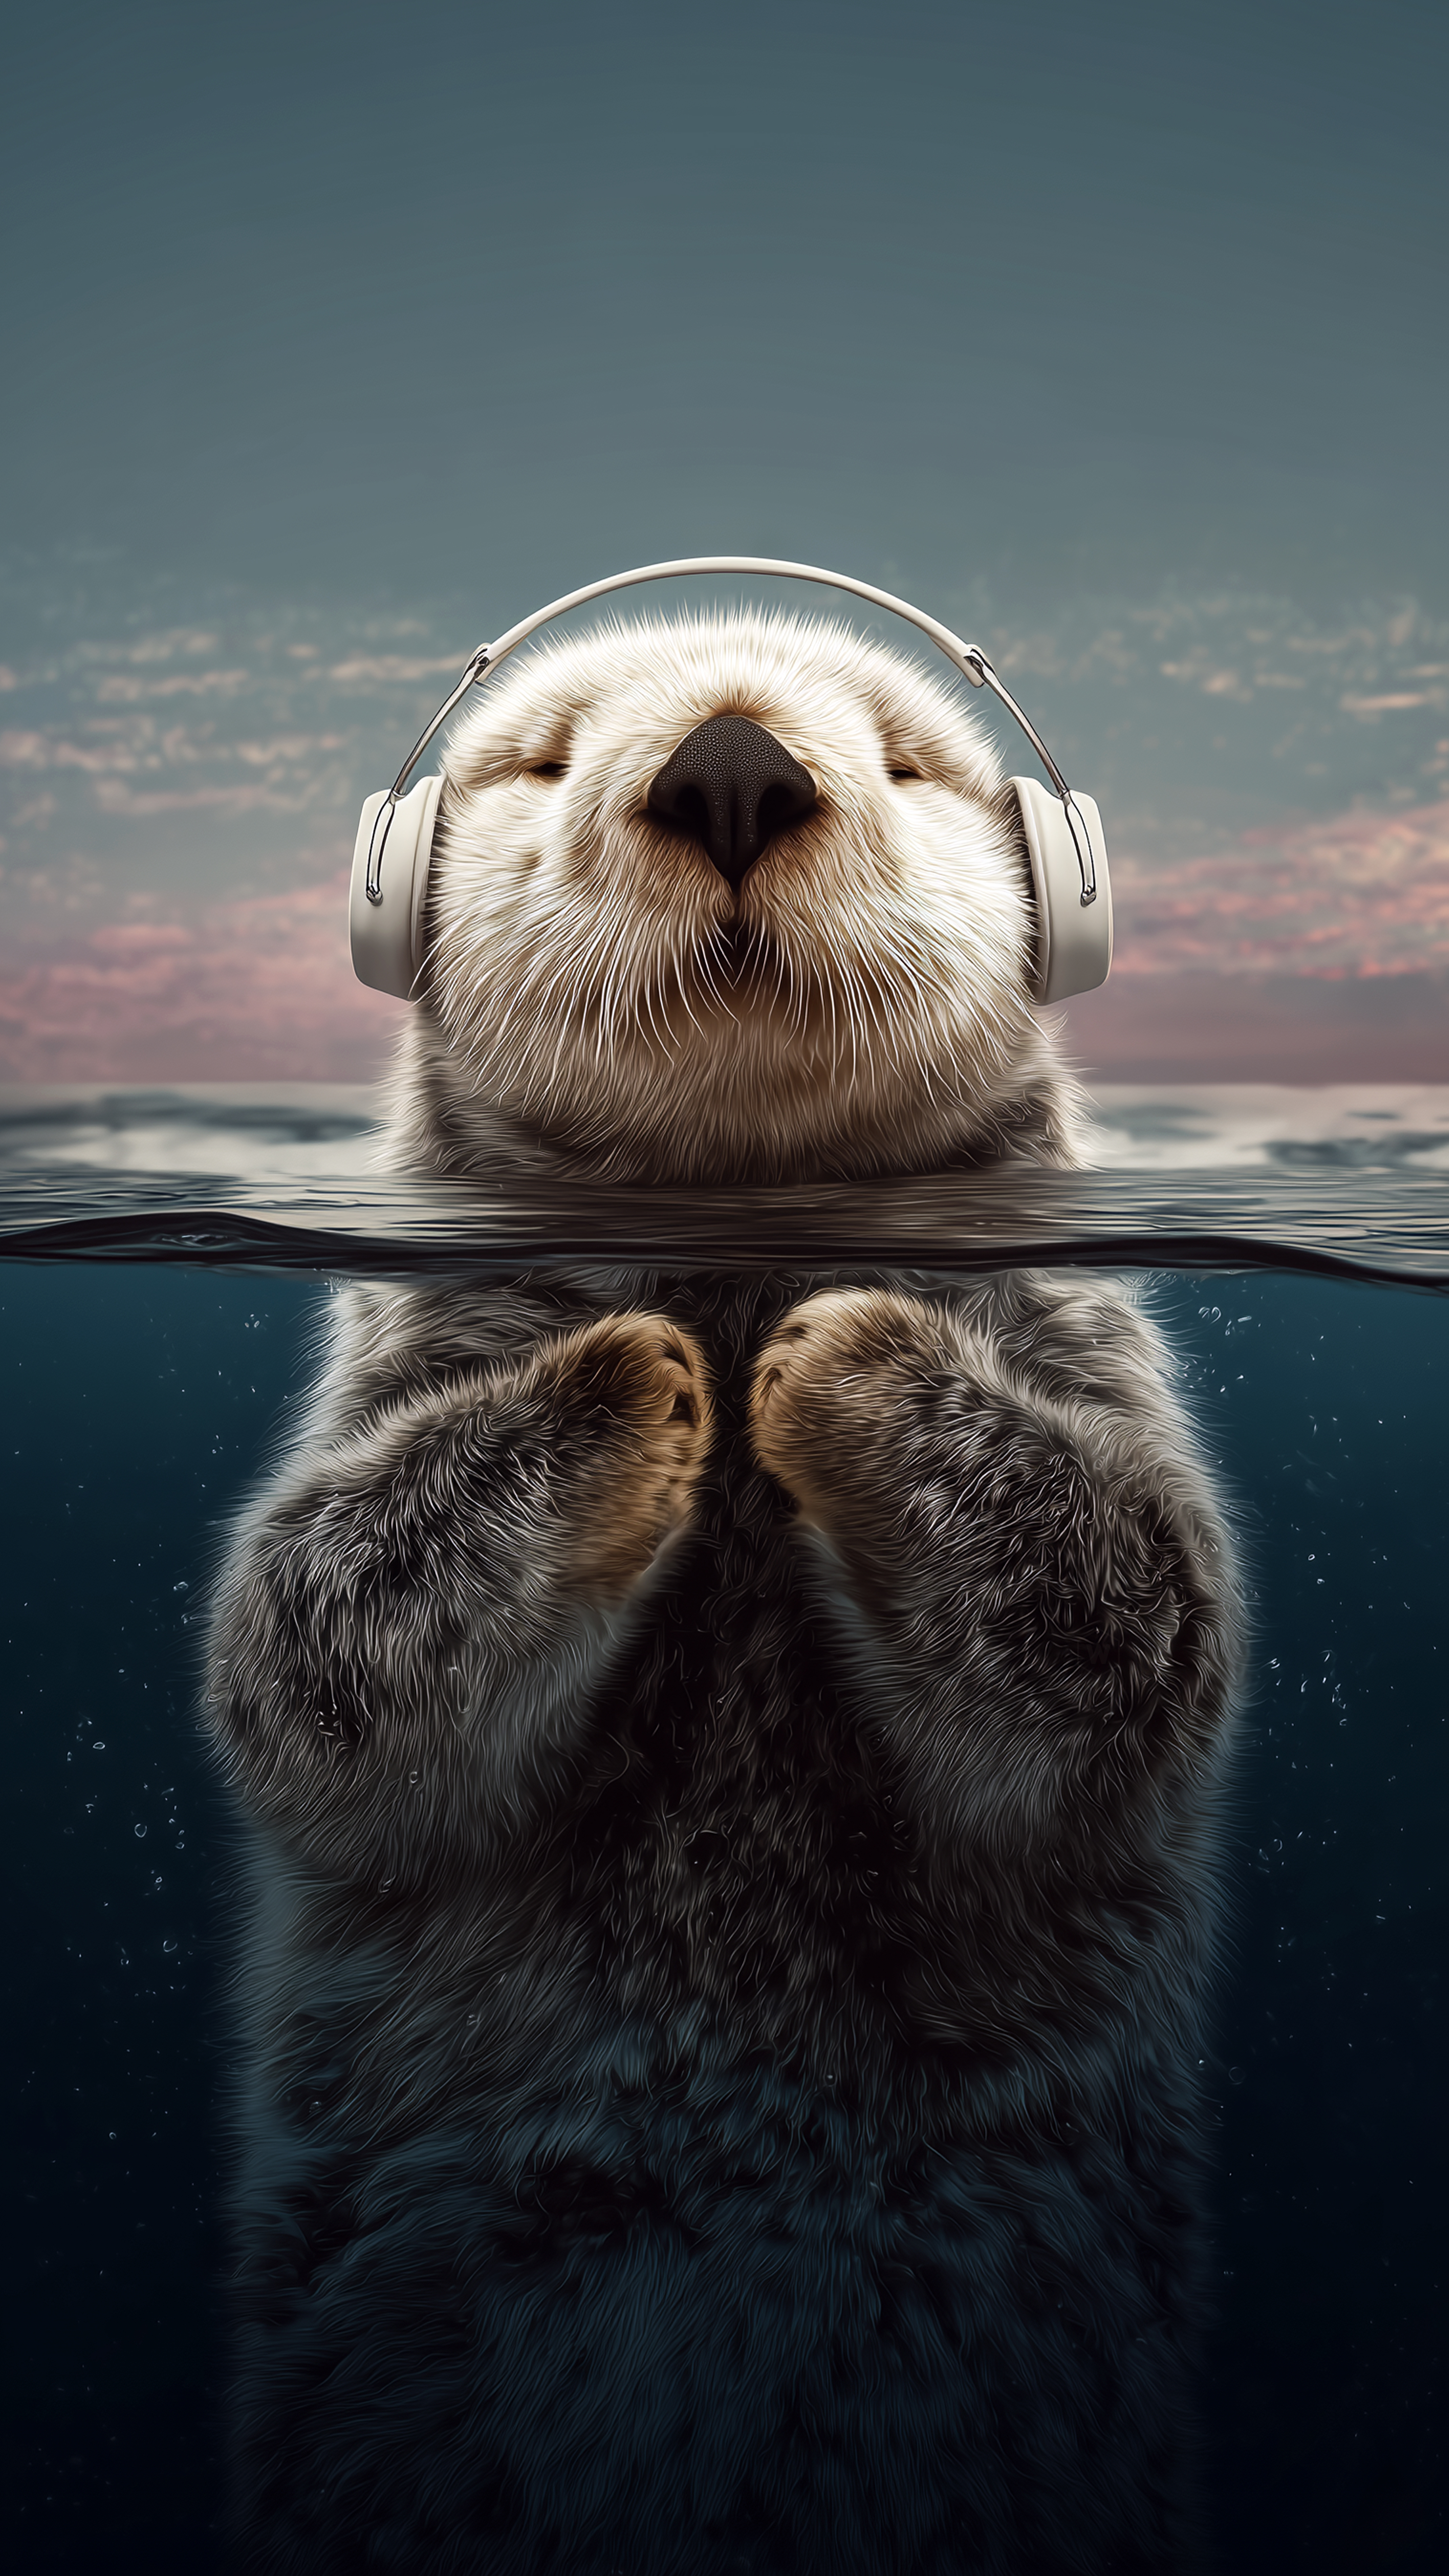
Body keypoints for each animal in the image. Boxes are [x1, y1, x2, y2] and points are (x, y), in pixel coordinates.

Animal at [207, 608, 1241, 2574]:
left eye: (907, 756)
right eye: (541, 753)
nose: (736, 768)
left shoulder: (1080, 1352)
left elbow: (1130, 1629)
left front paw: (835, 1355)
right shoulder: (405, 1365)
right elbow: (309, 1662)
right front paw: (643, 1377)